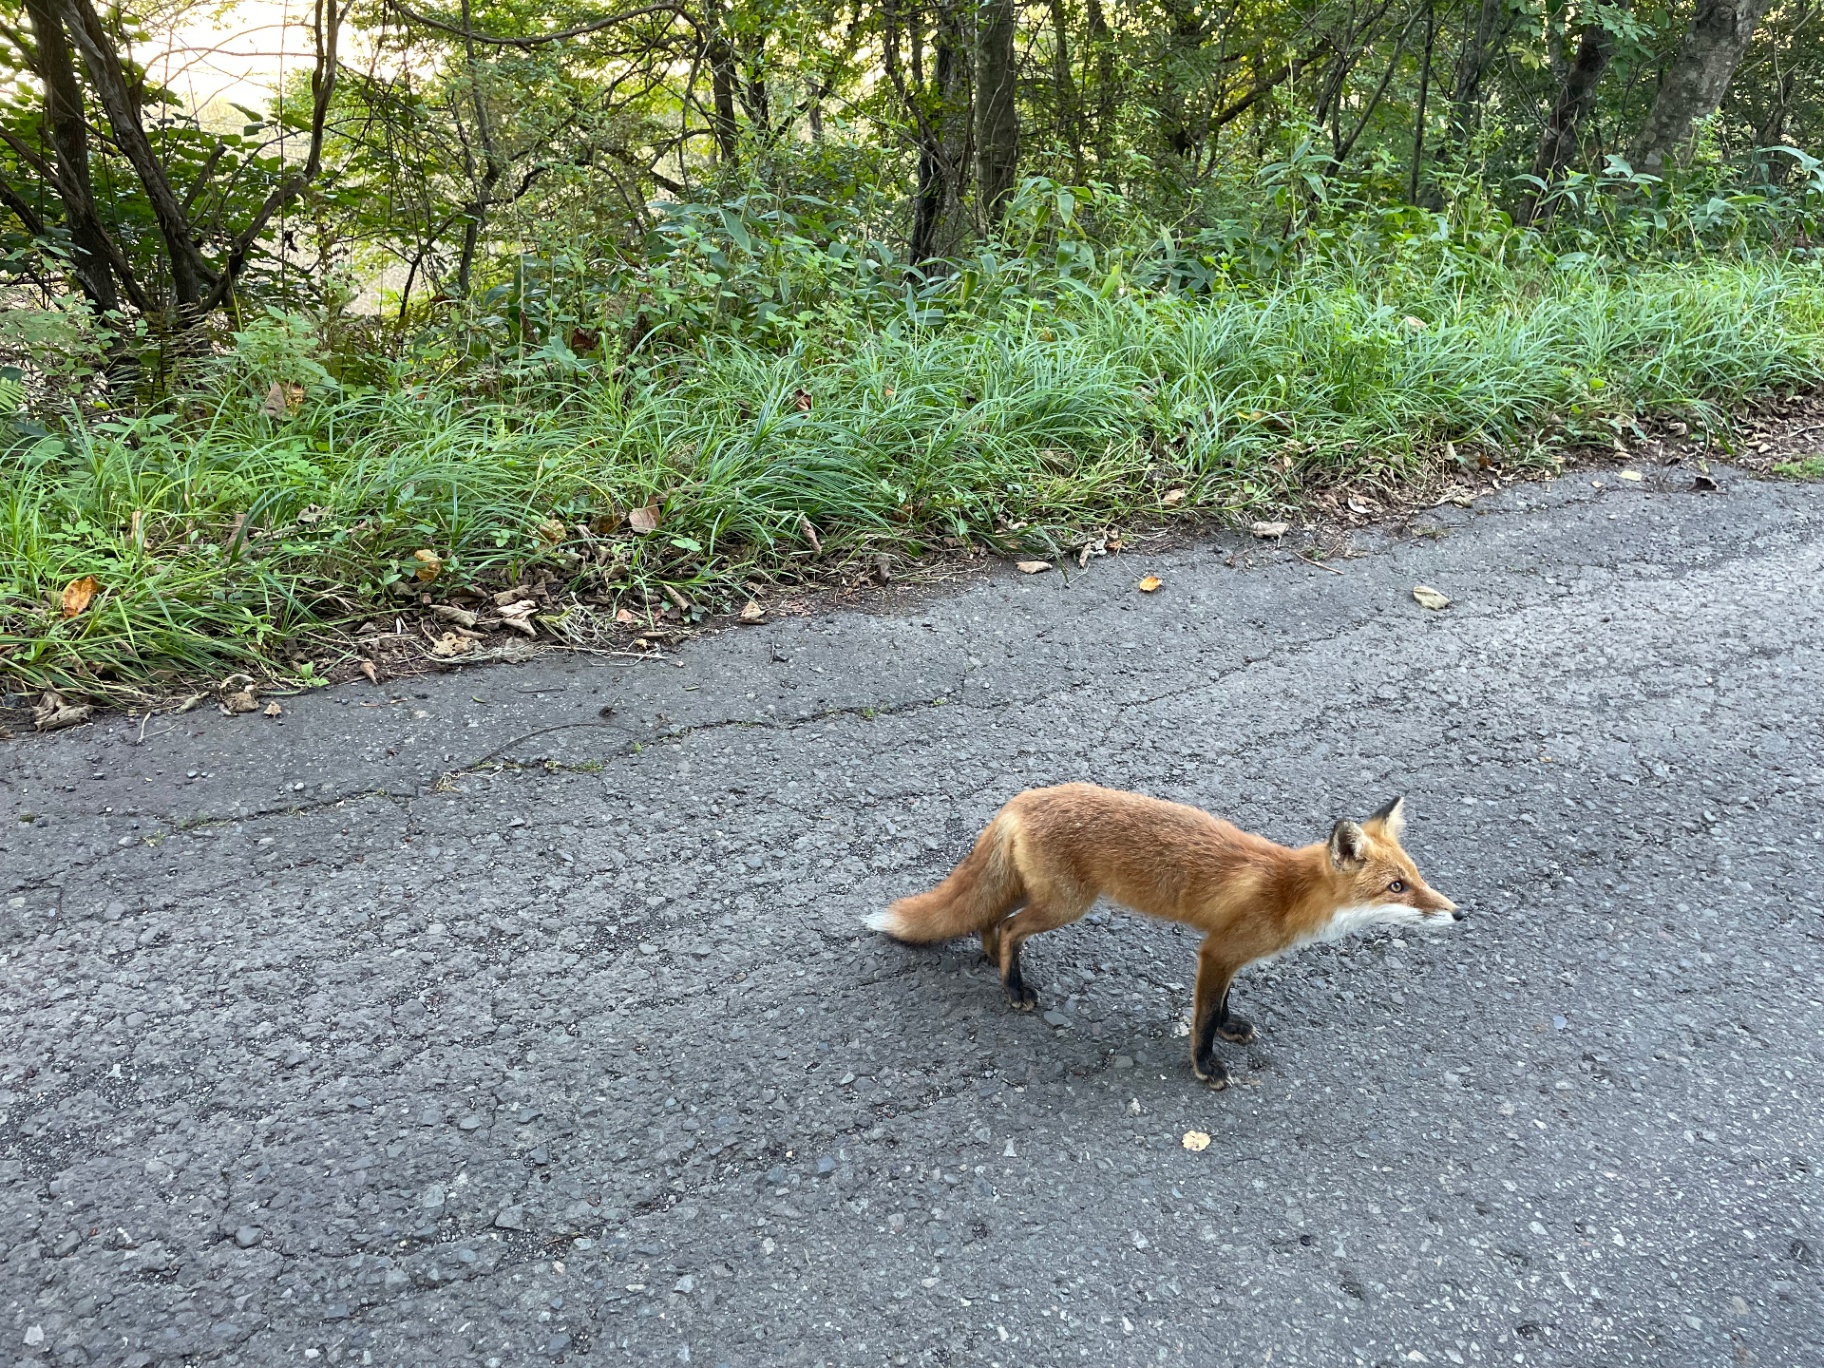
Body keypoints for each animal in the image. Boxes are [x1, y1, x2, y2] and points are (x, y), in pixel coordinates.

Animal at [867, 783, 1462, 1089]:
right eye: (1396, 887)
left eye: (1416, 876)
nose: (1458, 914)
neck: (1288, 891)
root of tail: (1023, 797)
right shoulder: (1217, 951)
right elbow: (1202, 1019)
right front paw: (1205, 1066)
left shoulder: (1229, 953)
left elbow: (1223, 1006)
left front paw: (1231, 1028)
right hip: (1065, 905)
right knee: (1010, 927)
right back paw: (1014, 988)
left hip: (1038, 893)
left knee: (989, 919)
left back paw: (995, 964)